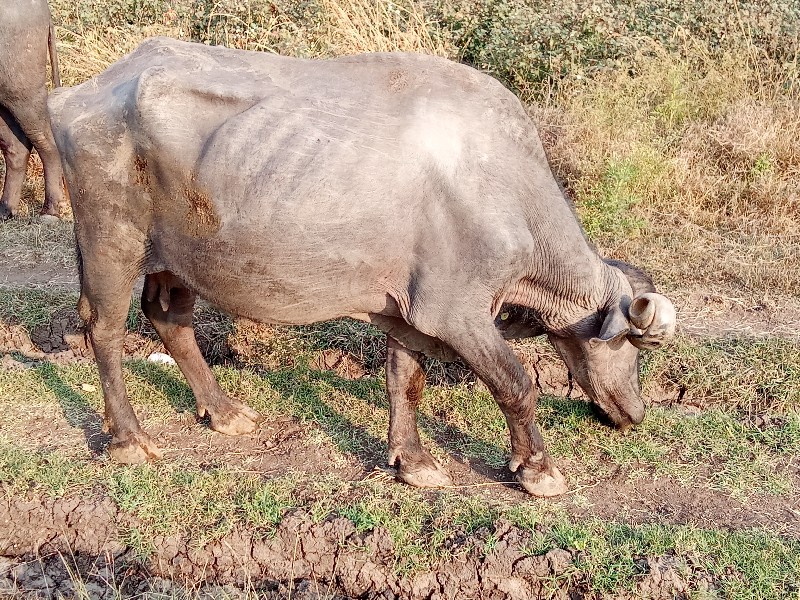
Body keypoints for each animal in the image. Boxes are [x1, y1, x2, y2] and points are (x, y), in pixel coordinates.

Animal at [48, 38, 676, 496]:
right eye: (629, 347)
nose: (636, 412)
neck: (502, 189)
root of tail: (77, 94)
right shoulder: (457, 314)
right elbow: (516, 385)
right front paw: (537, 470)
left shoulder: (410, 311)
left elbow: (405, 379)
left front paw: (413, 461)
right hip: (111, 241)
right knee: (105, 328)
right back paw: (129, 438)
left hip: (177, 258)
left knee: (168, 318)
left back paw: (224, 412)